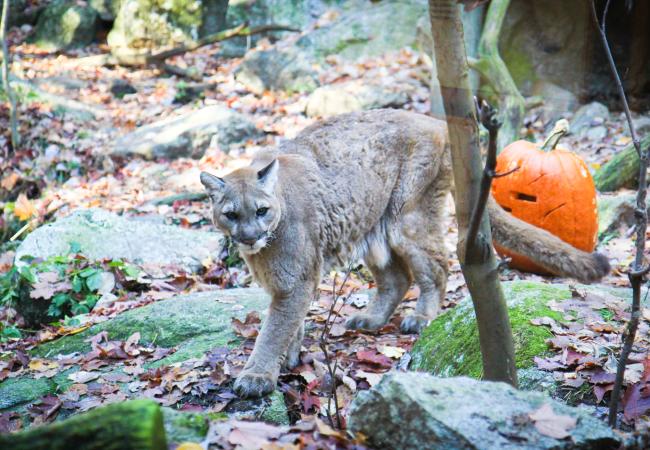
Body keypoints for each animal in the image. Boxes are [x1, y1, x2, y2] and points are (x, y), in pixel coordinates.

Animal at [199, 109, 608, 398]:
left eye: (261, 210)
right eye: (231, 214)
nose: (249, 235)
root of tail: (435, 121)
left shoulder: (294, 280)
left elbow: (273, 329)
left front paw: (257, 375)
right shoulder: (288, 282)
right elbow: (290, 323)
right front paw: (290, 356)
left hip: (407, 215)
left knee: (438, 266)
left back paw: (421, 318)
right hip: (372, 225)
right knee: (398, 277)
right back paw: (371, 319)